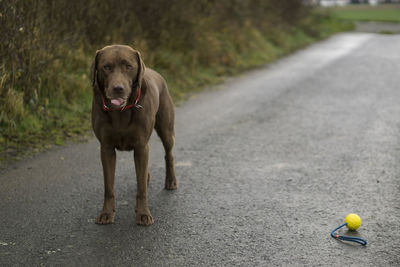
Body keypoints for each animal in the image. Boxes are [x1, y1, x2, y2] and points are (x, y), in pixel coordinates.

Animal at [91, 45, 179, 226]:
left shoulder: (141, 145)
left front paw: (143, 214)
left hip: (166, 129)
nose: (118, 88)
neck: (120, 112)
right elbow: (108, 186)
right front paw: (106, 213)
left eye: (128, 66)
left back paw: (171, 181)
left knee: (169, 154)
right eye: (106, 67)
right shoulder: (106, 148)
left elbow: (141, 189)